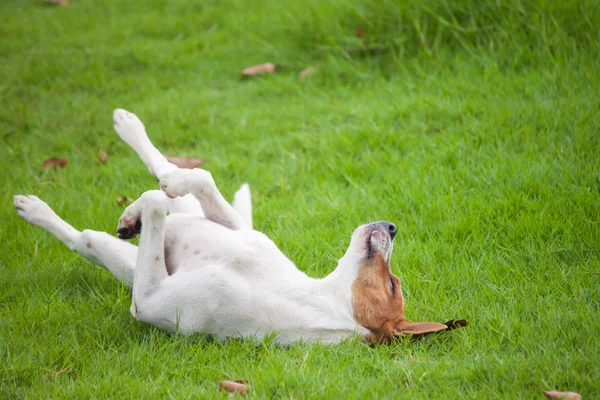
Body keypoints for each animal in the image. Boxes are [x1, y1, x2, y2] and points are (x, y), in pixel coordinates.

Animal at [12, 108, 464, 344]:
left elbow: (157, 201)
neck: (314, 295)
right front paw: (141, 206)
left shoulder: (148, 297)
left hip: (129, 263)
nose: (393, 226)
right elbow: (197, 179)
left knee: (87, 239)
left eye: (393, 285)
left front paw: (141, 208)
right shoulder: (239, 231)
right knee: (174, 181)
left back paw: (39, 209)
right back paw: (130, 137)